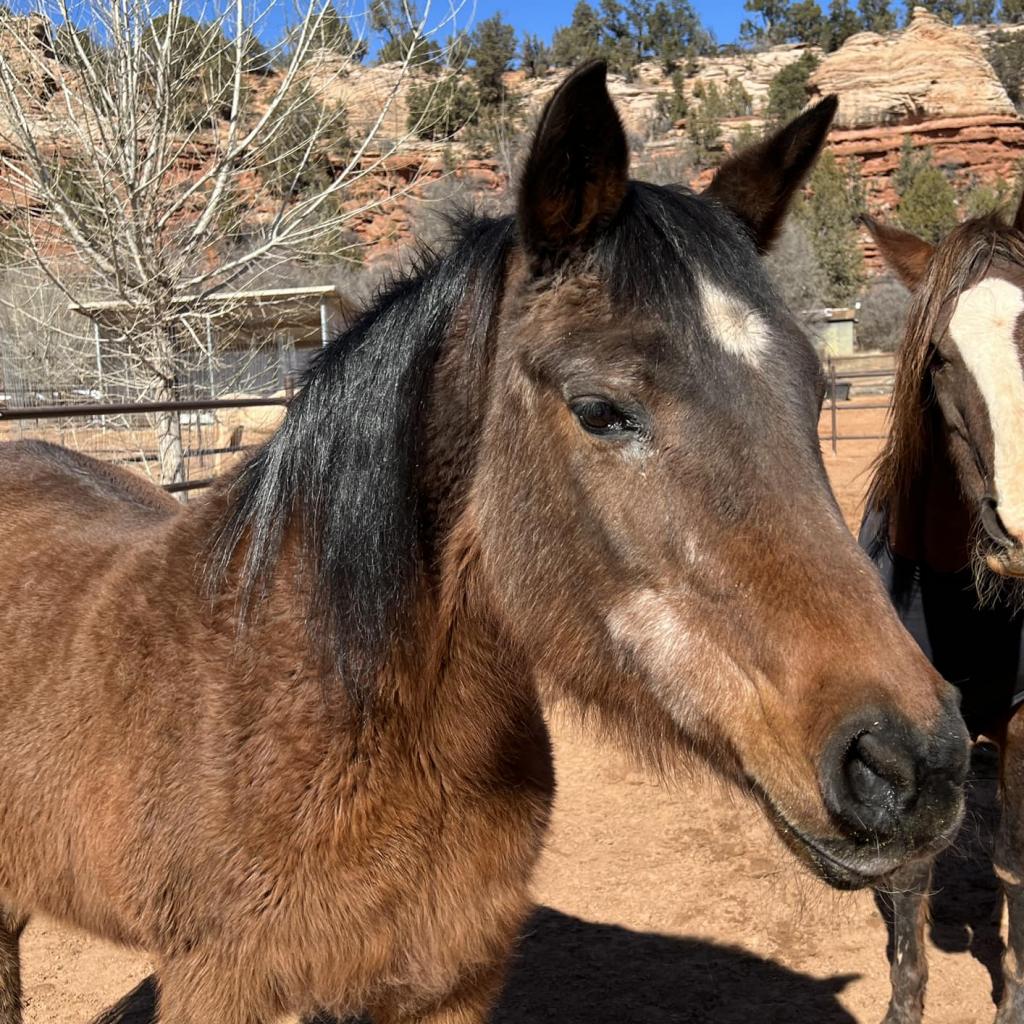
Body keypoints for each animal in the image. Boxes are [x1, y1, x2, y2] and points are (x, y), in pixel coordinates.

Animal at [2, 66, 966, 1024]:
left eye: (812, 394)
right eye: (600, 410)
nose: (914, 764)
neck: (331, 705)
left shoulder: (452, 985)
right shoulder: (218, 989)